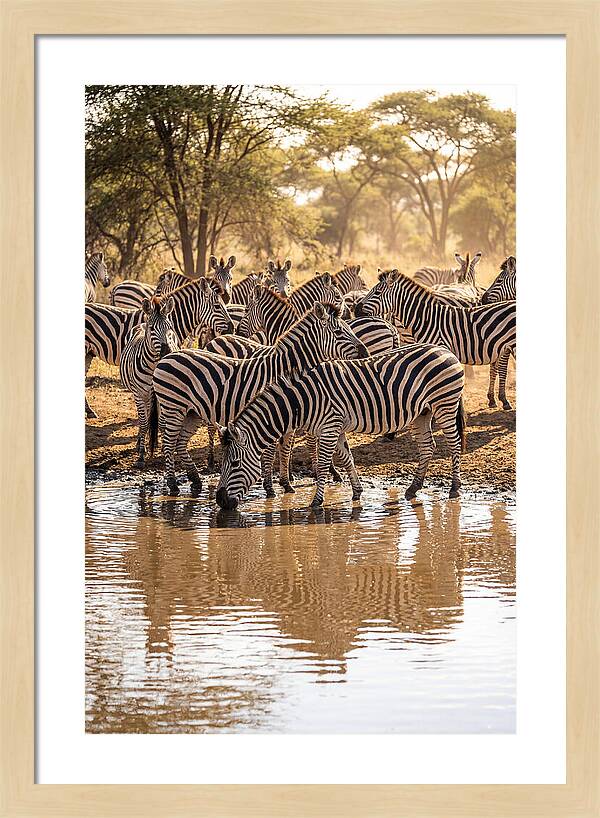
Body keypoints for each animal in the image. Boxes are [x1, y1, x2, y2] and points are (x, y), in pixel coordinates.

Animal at [119, 296, 179, 467]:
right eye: (152, 329)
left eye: (170, 328)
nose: (167, 352)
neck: (153, 366)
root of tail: (141, 324)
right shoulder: (139, 394)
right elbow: (144, 422)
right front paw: (141, 455)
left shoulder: (165, 395)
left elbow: (163, 423)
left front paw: (165, 449)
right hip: (140, 395)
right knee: (143, 419)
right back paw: (140, 441)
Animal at [148, 303, 368, 495]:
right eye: (339, 332)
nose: (365, 352)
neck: (284, 369)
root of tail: (166, 357)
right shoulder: (273, 412)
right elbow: (271, 452)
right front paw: (270, 487)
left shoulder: (288, 414)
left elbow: (285, 449)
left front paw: (286, 484)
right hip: (173, 407)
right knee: (168, 443)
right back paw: (173, 485)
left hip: (192, 412)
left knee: (179, 443)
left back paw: (195, 480)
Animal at [215, 343, 466, 509]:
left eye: (234, 463)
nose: (220, 501)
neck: (303, 400)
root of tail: (445, 350)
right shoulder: (335, 428)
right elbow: (347, 459)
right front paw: (356, 492)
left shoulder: (329, 427)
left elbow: (323, 465)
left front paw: (316, 502)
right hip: (421, 413)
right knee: (428, 447)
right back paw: (414, 487)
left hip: (444, 404)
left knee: (454, 444)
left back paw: (454, 487)